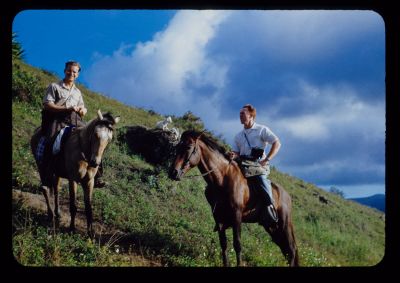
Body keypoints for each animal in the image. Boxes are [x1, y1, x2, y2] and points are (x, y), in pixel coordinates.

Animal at [30, 110, 119, 239]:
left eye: (109, 139)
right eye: (96, 134)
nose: (95, 162)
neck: (83, 154)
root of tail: (37, 132)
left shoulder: (89, 182)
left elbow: (89, 208)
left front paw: (90, 233)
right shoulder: (73, 180)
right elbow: (73, 205)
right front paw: (72, 229)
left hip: (56, 172)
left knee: (56, 190)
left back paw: (57, 213)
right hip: (42, 167)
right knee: (45, 190)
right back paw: (50, 214)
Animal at [167, 131, 298, 268]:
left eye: (188, 147)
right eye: (177, 147)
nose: (173, 172)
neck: (222, 179)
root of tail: (287, 196)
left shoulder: (237, 215)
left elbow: (237, 244)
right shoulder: (218, 217)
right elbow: (223, 244)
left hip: (284, 224)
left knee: (291, 249)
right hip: (271, 226)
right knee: (285, 250)